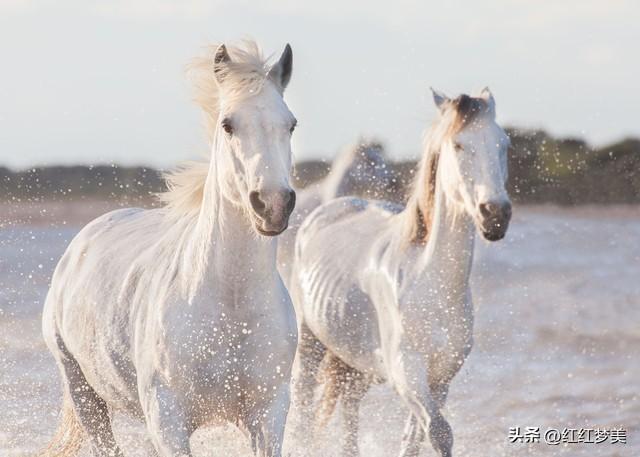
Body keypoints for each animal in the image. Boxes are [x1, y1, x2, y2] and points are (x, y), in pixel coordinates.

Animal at [39, 41, 298, 454]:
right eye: (228, 124)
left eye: (290, 124)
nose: (272, 205)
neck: (231, 303)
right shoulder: (168, 421)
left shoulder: (268, 414)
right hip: (83, 392)